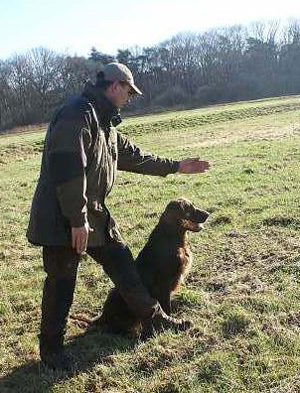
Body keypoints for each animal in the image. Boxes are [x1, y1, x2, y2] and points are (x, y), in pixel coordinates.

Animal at [97, 198, 210, 336]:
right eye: (190, 208)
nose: (208, 214)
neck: (171, 236)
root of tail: (102, 317)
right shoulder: (164, 284)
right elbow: (166, 307)